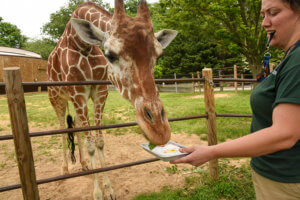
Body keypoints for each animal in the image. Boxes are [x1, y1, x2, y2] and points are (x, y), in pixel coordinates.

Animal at [47, 0, 177, 199]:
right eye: (110, 55)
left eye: (159, 55)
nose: (159, 131)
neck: (81, 44)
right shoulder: (78, 94)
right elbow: (91, 144)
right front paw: (97, 193)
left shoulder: (99, 92)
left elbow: (99, 141)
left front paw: (108, 190)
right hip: (56, 98)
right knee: (62, 128)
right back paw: (64, 169)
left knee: (75, 125)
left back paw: (84, 164)